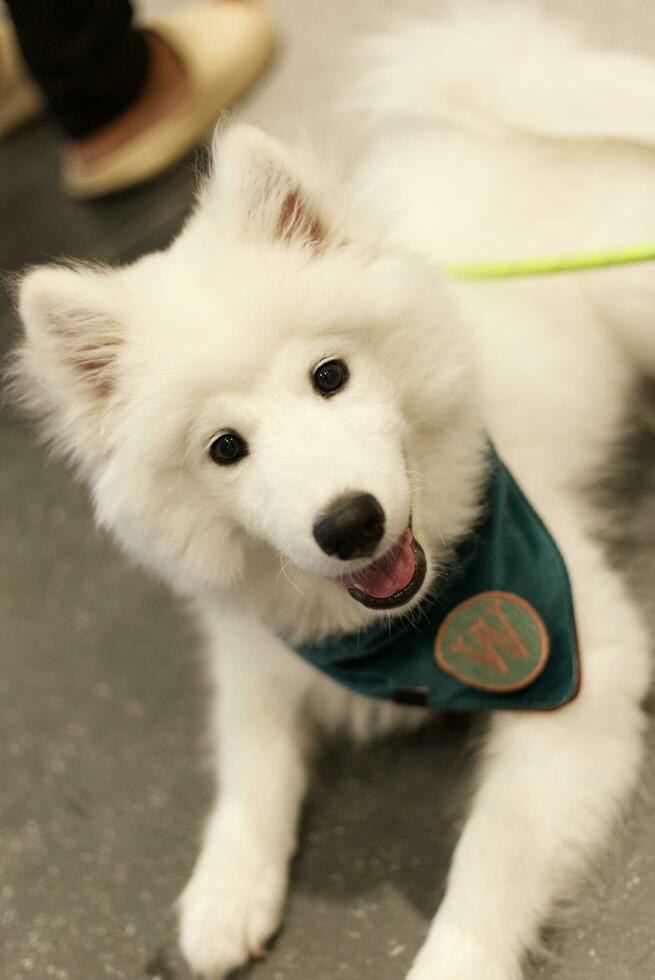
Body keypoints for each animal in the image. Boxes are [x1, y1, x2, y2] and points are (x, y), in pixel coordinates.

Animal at [9, 7, 655, 980]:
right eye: (224, 449)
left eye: (329, 375)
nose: (350, 523)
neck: (400, 635)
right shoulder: (252, 647)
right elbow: (251, 765)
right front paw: (224, 894)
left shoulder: (581, 663)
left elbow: (491, 853)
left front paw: (452, 962)